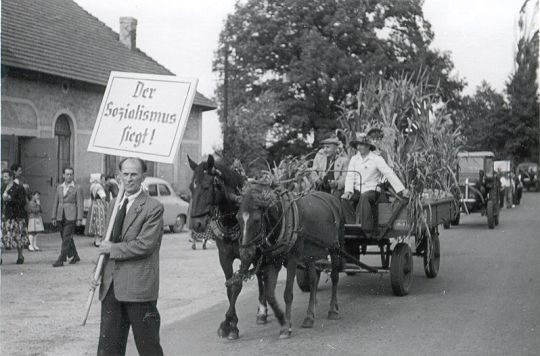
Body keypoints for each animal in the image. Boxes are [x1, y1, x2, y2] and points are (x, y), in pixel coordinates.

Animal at [188, 154, 268, 340]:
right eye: (190, 188)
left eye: (206, 186)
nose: (196, 224)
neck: (233, 219)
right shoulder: (224, 256)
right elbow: (229, 286)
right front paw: (230, 322)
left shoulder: (247, 254)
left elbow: (236, 285)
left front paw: (230, 324)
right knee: (260, 274)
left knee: (262, 275)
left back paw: (262, 310)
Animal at [237, 182, 346, 338]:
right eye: (238, 218)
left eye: (257, 220)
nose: (245, 253)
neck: (283, 221)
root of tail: (333, 198)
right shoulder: (273, 261)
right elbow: (270, 295)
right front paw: (282, 320)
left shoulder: (293, 260)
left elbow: (287, 294)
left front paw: (286, 326)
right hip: (310, 254)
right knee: (313, 281)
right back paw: (309, 316)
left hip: (335, 247)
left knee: (335, 277)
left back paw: (333, 310)